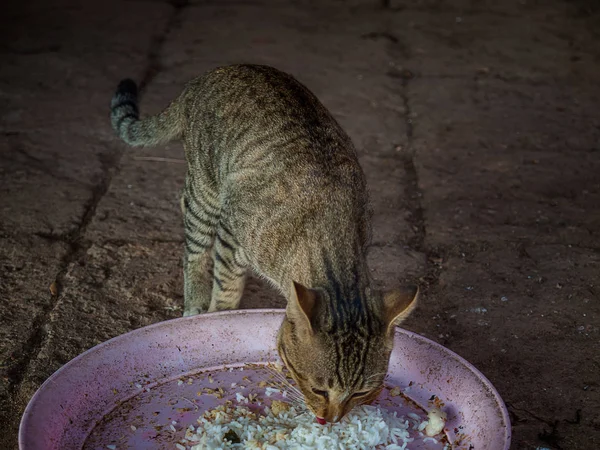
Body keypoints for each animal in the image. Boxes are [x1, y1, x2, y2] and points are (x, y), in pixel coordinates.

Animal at [110, 65, 420, 424]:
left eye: (359, 393)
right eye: (318, 390)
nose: (328, 420)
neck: (332, 229)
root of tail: (212, 73)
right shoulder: (231, 233)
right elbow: (226, 289)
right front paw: (217, 318)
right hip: (206, 192)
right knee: (193, 244)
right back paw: (194, 305)